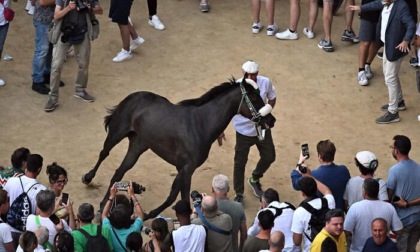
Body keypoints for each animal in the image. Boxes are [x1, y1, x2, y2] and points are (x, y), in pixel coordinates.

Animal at [81, 76, 276, 220]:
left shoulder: (186, 170)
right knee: (104, 153)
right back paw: (88, 178)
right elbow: (174, 197)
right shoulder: (185, 168)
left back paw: (102, 206)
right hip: (117, 132)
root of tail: (134, 96)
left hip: (138, 146)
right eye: (255, 97)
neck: (201, 124)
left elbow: (178, 196)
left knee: (118, 172)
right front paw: (148, 215)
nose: (271, 120)